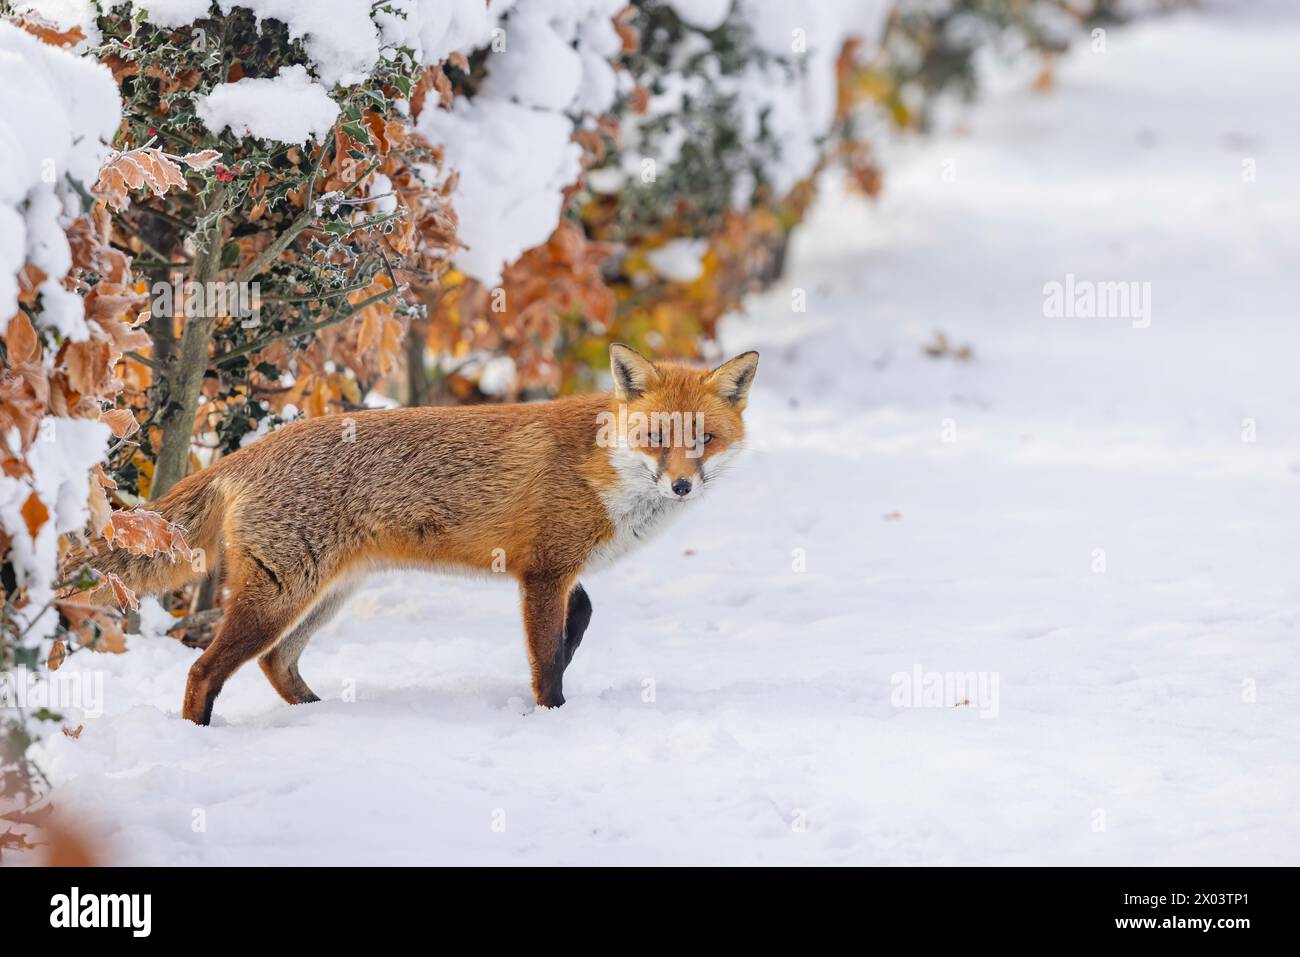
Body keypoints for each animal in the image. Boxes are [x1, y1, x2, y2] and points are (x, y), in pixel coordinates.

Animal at [85, 344, 758, 725]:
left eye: (703, 439)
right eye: (658, 439)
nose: (681, 486)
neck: (604, 464)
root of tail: (251, 450)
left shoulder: (558, 571)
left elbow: (582, 617)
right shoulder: (542, 572)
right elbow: (545, 662)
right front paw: (551, 718)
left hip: (324, 595)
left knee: (277, 662)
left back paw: (318, 717)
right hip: (279, 596)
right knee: (204, 671)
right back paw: (198, 737)